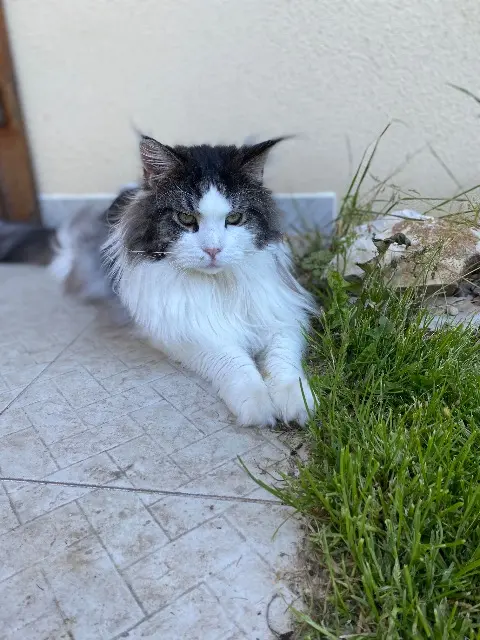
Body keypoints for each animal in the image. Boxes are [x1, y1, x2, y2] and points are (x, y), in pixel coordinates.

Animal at [50, 134, 316, 424]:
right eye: (186, 218)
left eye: (234, 218)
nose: (213, 250)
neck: (218, 285)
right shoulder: (185, 332)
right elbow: (234, 362)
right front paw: (257, 405)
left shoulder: (283, 317)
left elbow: (283, 362)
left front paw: (297, 403)